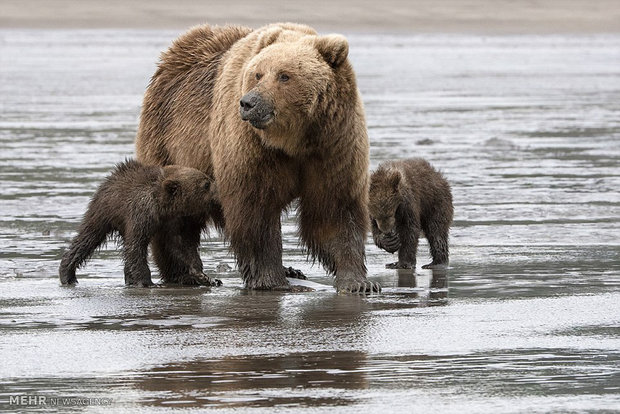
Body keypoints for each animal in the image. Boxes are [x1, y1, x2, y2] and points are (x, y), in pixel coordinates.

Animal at [58, 158, 222, 288]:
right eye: (206, 184)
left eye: (207, 179)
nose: (217, 192)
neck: (162, 207)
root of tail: (111, 176)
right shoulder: (140, 213)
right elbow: (137, 246)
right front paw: (147, 282)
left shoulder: (173, 221)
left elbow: (181, 244)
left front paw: (203, 275)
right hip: (104, 211)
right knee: (88, 237)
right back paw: (67, 275)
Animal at [136, 23, 378, 294]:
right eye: (258, 74)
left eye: (284, 75)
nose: (249, 103)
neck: (295, 140)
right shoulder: (253, 148)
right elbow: (256, 209)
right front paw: (273, 281)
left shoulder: (334, 144)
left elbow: (333, 208)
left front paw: (358, 282)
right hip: (171, 139)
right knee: (178, 217)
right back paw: (191, 274)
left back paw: (291, 270)